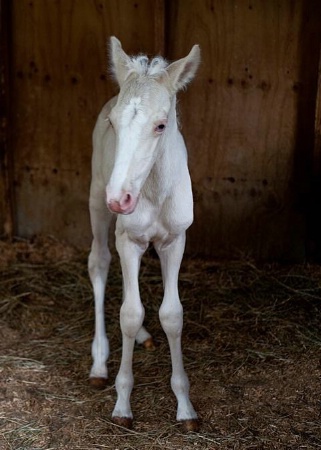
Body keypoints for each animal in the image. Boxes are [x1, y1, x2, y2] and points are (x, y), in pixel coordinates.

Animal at [87, 37, 200, 430]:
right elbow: (130, 314)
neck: (152, 190)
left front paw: (186, 408)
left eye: (161, 125)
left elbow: (173, 315)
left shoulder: (175, 241)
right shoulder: (129, 238)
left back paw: (143, 338)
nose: (120, 198)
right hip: (96, 198)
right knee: (99, 262)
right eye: (113, 123)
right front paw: (122, 403)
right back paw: (99, 363)